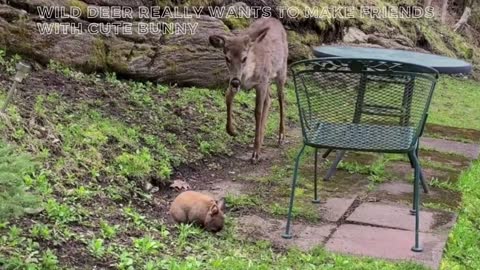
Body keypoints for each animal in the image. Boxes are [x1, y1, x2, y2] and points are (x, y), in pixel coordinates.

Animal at [208, 17, 286, 165]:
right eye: (227, 58)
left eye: (244, 58)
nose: (235, 82)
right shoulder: (240, 81)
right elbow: (227, 98)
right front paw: (232, 131)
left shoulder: (261, 82)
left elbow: (257, 112)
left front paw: (255, 154)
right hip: (268, 82)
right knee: (269, 100)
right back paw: (262, 138)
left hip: (281, 72)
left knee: (281, 99)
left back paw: (281, 137)